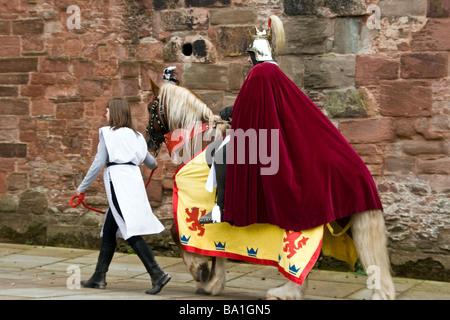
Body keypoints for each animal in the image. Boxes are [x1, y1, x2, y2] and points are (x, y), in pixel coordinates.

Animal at [146, 79, 396, 300]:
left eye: (150, 108)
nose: (148, 141)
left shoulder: (198, 205)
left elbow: (177, 233)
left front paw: (201, 273)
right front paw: (212, 281)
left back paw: (288, 291)